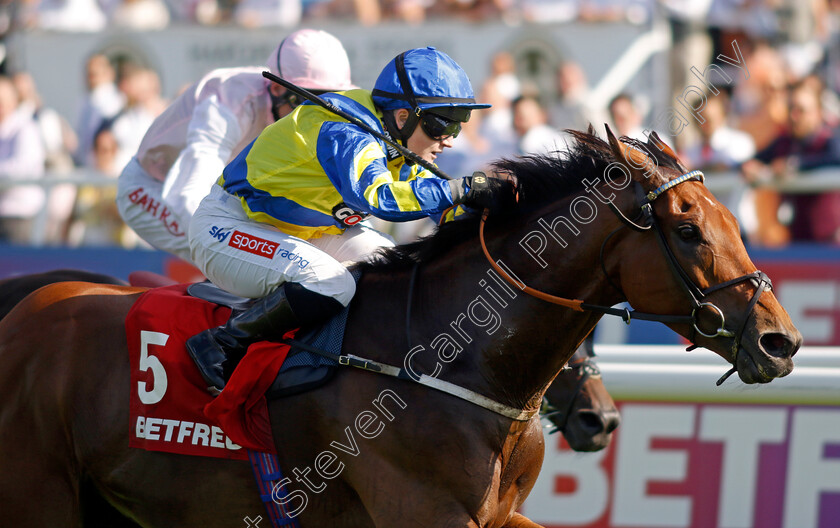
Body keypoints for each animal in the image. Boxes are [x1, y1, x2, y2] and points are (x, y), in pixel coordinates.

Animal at [1, 128, 800, 528]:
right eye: (688, 230)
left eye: (735, 221)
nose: (780, 341)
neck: (453, 361)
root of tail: (28, 307)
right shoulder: (424, 511)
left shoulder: (499, 517)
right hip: (40, 497)